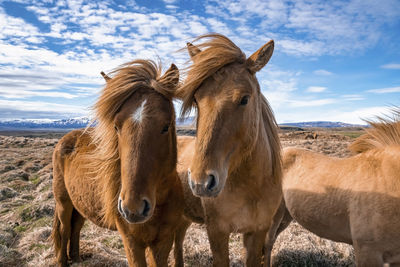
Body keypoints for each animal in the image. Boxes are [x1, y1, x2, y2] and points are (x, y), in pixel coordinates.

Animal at [50, 60, 184, 267]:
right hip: (63, 202)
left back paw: (77, 257)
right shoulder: (132, 243)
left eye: (166, 126)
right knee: (64, 230)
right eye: (116, 126)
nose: (133, 208)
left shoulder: (163, 241)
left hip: (80, 202)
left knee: (76, 227)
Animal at [173, 33, 282, 267]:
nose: (201, 182)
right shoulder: (217, 231)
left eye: (244, 98)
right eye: (196, 100)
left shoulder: (257, 232)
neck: (249, 187)